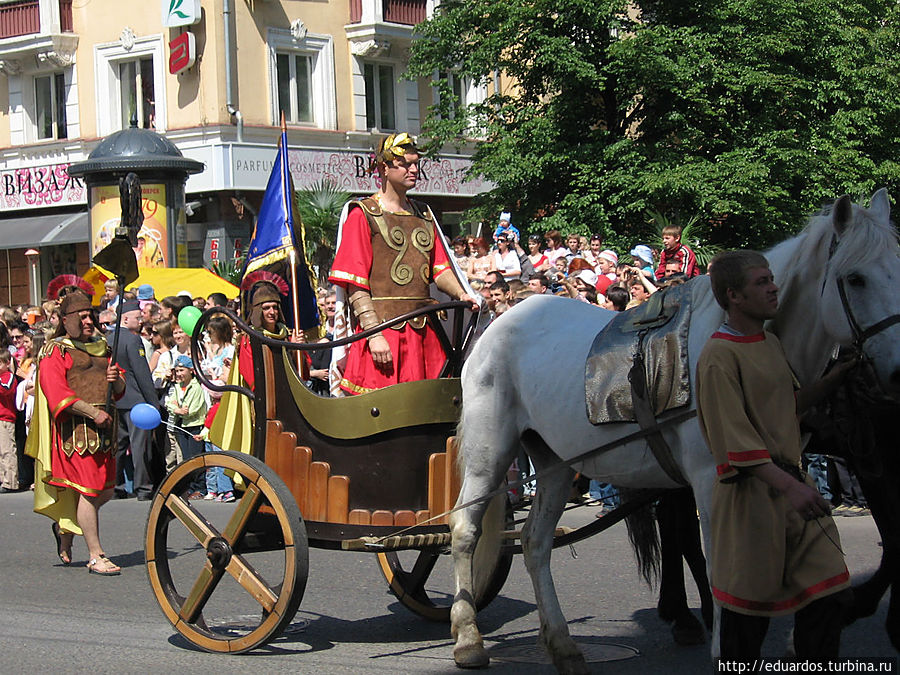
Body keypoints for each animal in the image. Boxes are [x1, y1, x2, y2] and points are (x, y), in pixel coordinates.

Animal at [454, 189, 900, 672]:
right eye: (855, 279)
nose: (898, 372)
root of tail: (499, 322)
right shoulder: (711, 478)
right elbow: (719, 562)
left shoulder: (785, 469)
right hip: (489, 451)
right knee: (465, 529)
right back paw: (467, 637)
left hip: (554, 462)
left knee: (535, 541)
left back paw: (562, 643)